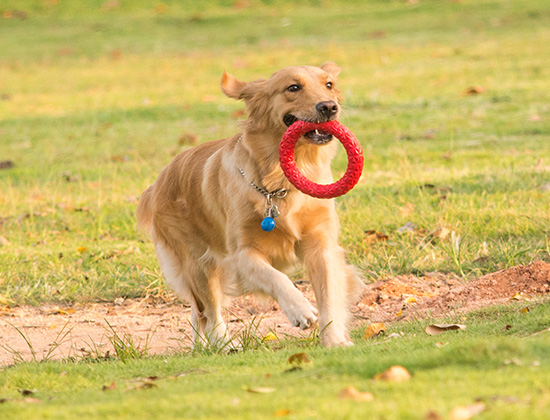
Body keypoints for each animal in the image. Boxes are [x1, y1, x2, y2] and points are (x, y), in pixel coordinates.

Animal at [137, 61, 362, 344]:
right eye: (293, 87)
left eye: (329, 84)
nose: (329, 106)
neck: (280, 185)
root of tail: (158, 182)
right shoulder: (241, 254)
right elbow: (275, 277)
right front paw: (299, 309)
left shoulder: (322, 245)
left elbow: (329, 296)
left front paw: (334, 340)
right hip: (197, 263)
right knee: (209, 312)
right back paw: (223, 344)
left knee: (199, 313)